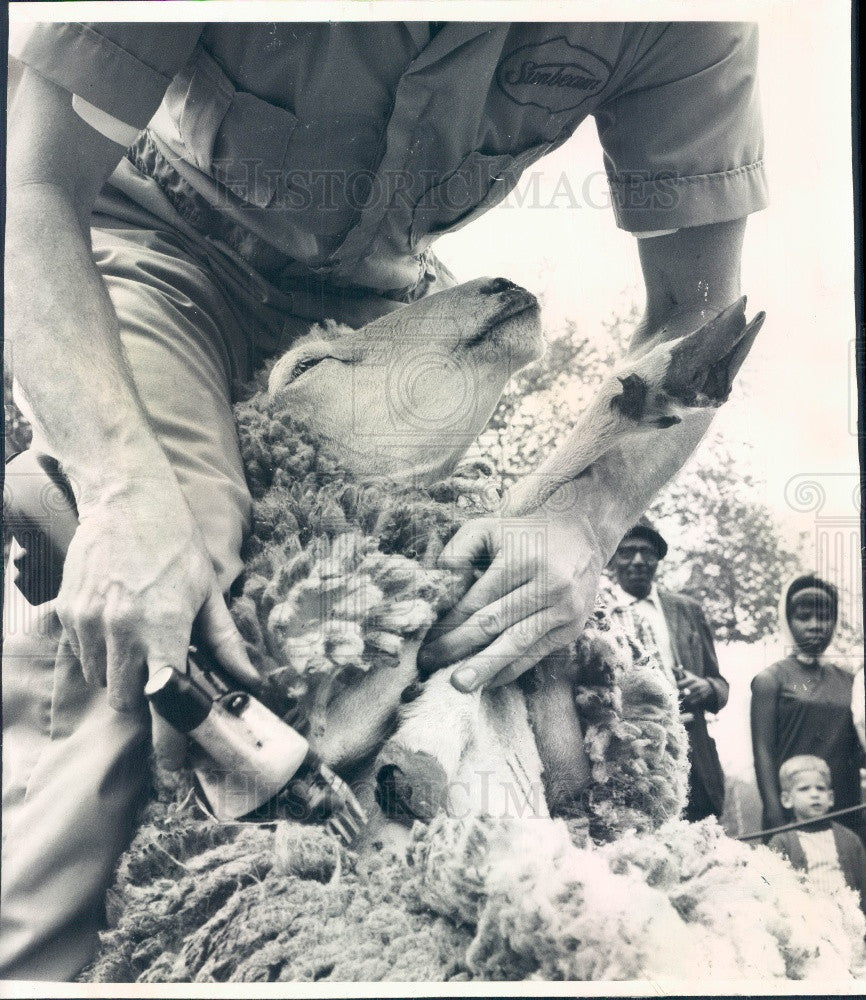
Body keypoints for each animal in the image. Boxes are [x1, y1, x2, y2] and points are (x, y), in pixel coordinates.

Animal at [82, 278, 864, 980]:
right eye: (304, 368)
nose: (502, 287)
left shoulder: (556, 749)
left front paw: (667, 376)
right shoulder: (319, 703)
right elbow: (492, 530)